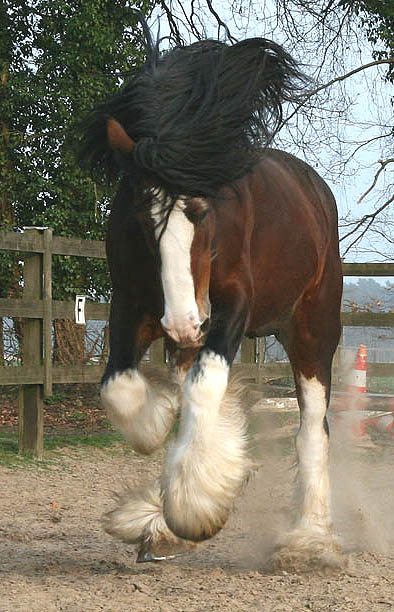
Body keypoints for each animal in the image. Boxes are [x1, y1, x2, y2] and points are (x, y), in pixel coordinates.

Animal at [78, 32, 344, 568]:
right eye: (142, 217)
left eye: (202, 211)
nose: (184, 321)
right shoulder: (131, 304)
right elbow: (121, 388)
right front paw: (164, 427)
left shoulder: (232, 306)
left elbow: (205, 386)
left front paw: (194, 508)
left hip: (313, 330)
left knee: (312, 425)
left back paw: (309, 539)